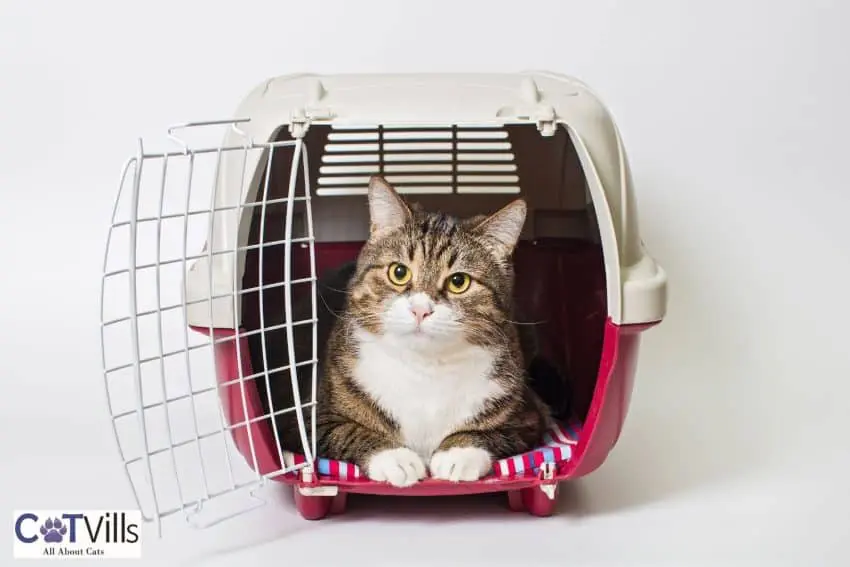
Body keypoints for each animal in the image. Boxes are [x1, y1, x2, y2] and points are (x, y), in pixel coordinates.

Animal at [252, 176, 556, 488]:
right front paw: (395, 458)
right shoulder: (302, 419)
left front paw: (458, 453)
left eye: (459, 281)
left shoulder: (528, 419)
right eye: (399, 272)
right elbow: (343, 430)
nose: (420, 309)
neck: (425, 367)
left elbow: (493, 433)